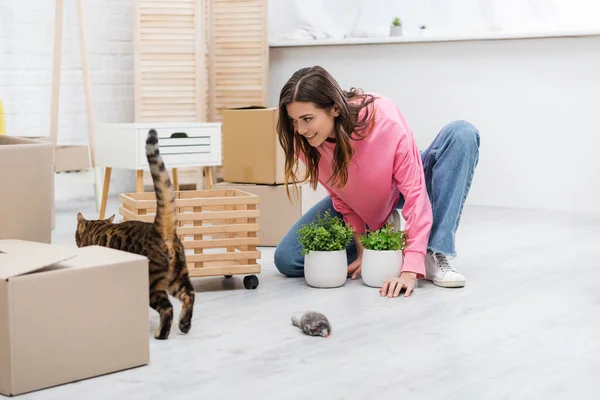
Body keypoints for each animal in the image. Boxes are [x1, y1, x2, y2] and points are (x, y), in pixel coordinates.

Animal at [75, 129, 196, 340]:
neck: (95, 228)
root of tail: (158, 229)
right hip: (177, 276)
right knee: (189, 295)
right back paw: (184, 325)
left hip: (152, 283)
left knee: (167, 308)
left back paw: (161, 334)